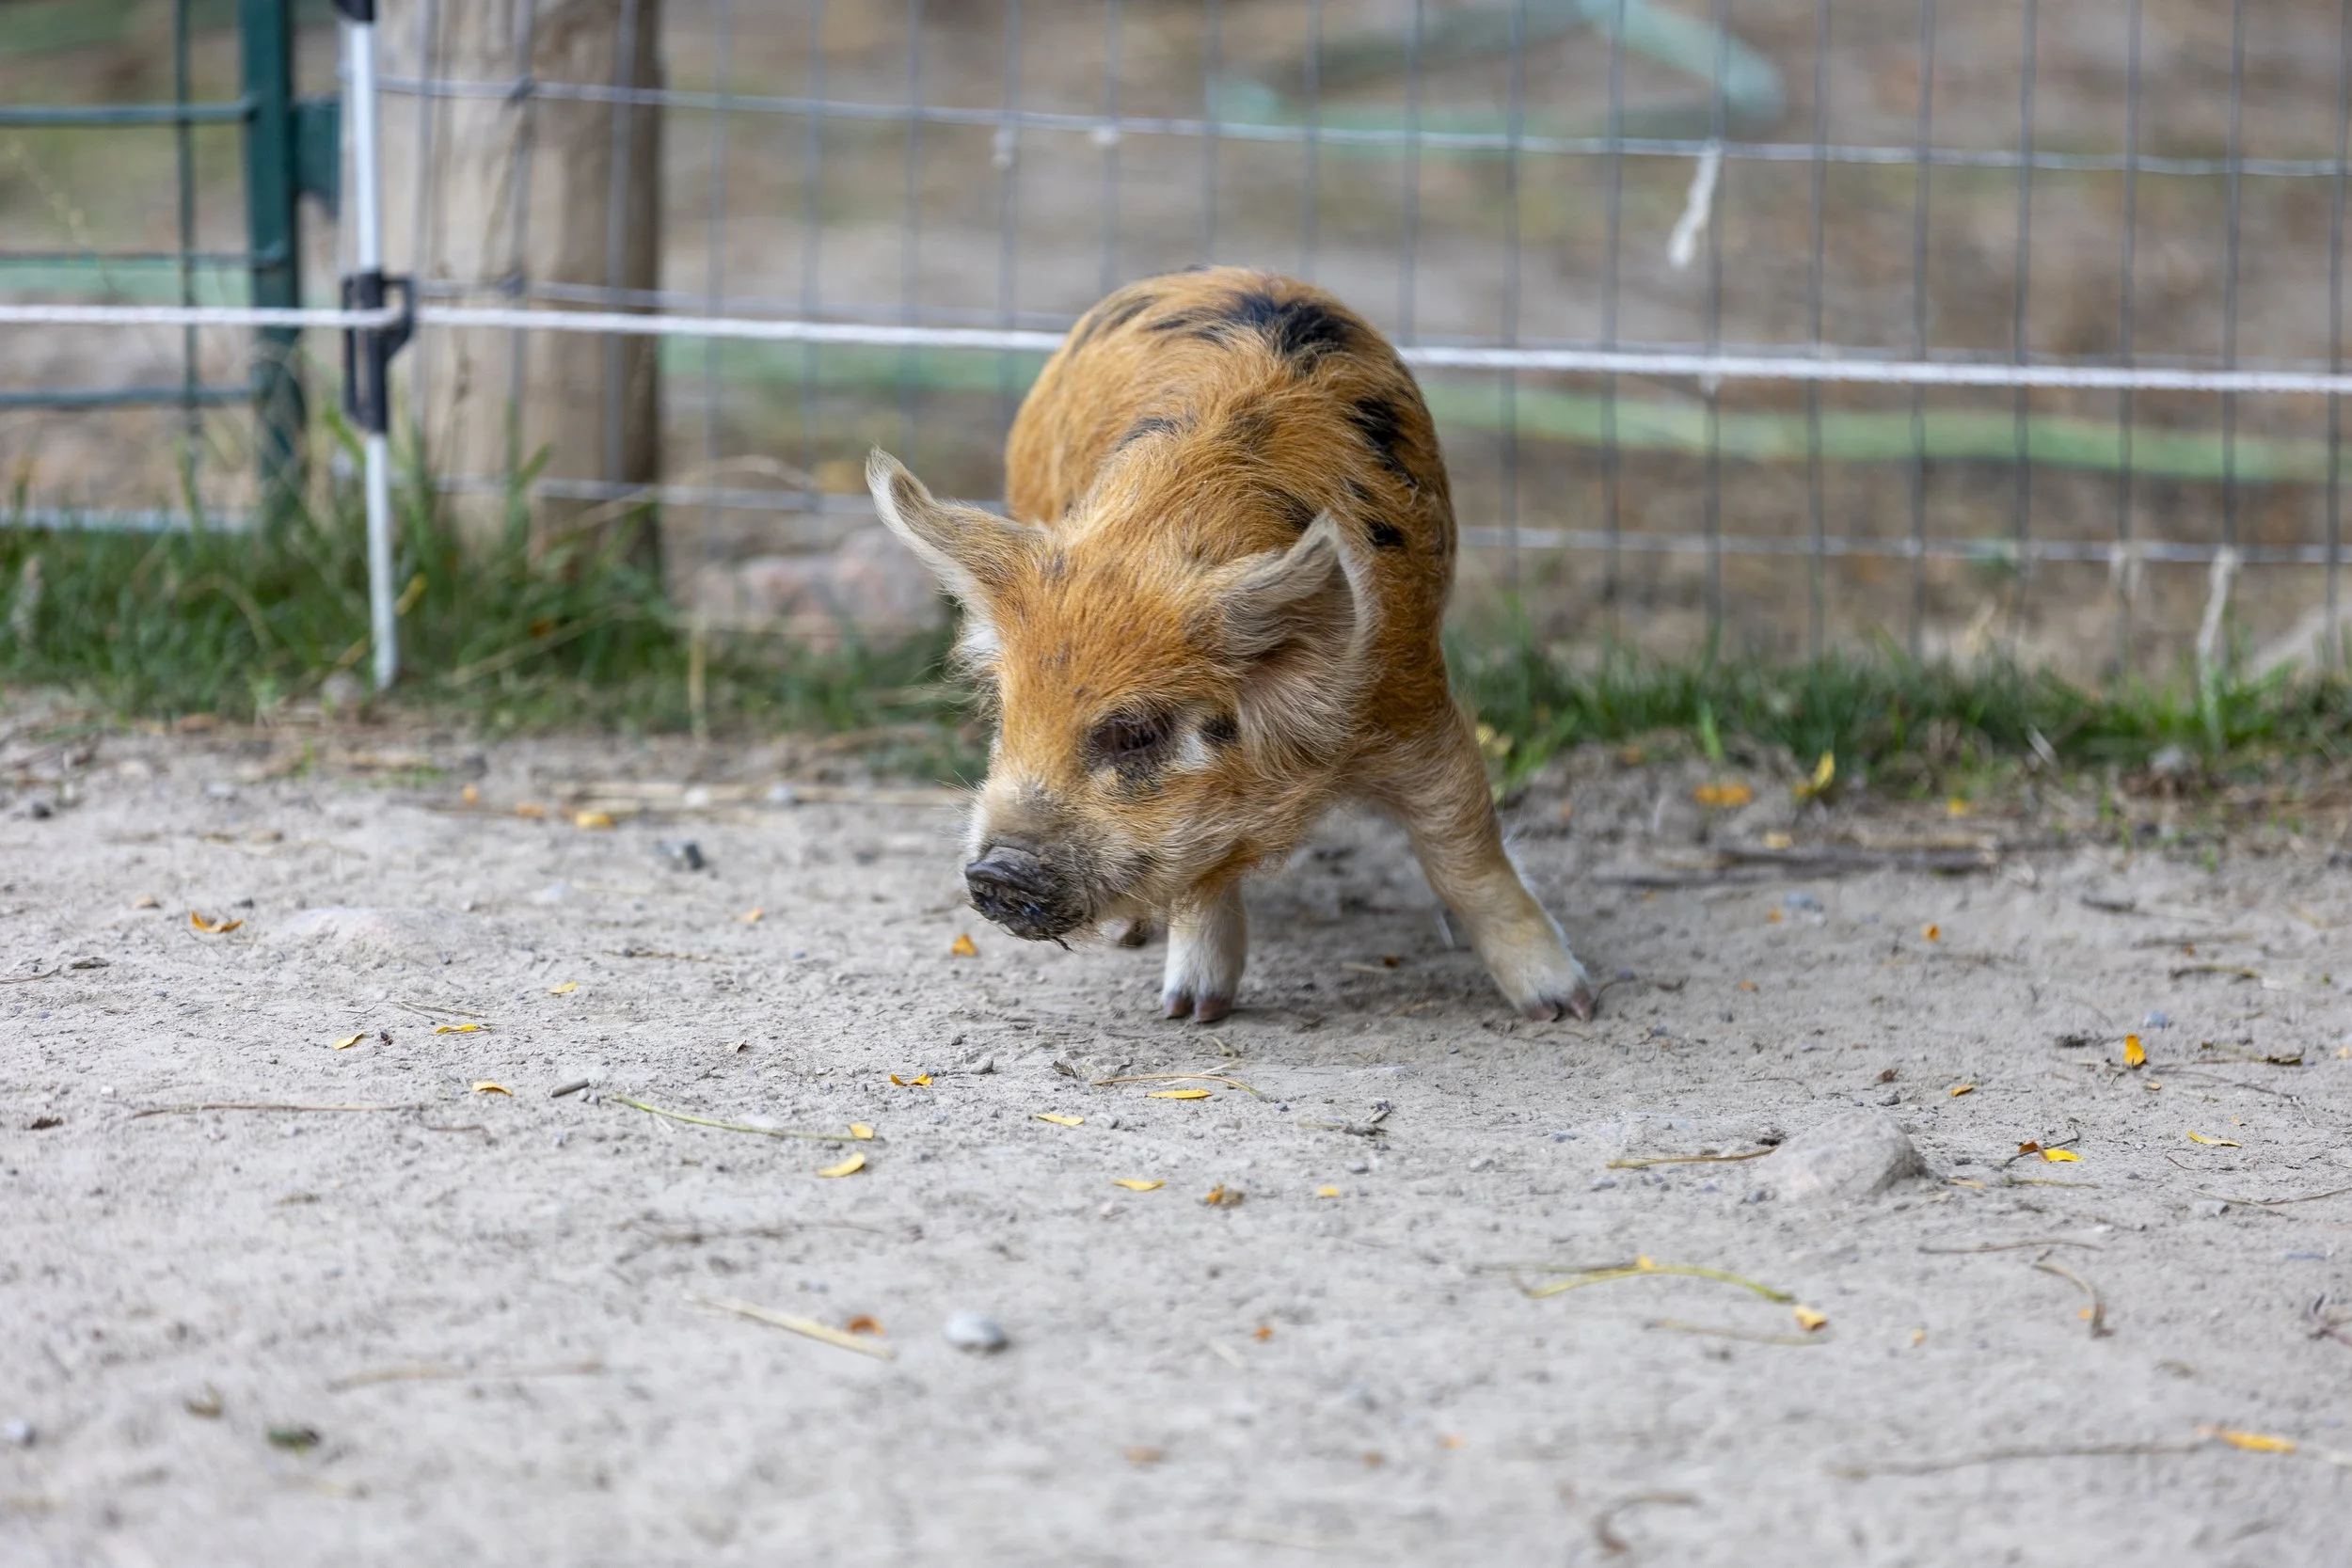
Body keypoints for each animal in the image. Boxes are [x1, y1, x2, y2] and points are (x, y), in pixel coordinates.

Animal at [866, 266, 1596, 1024]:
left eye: (1137, 733)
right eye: (1009, 716)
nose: (995, 873)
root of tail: (1196, 273)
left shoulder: (1416, 696)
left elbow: (1466, 851)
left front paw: (1568, 1005)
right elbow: (1199, 868)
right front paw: (1191, 1010)